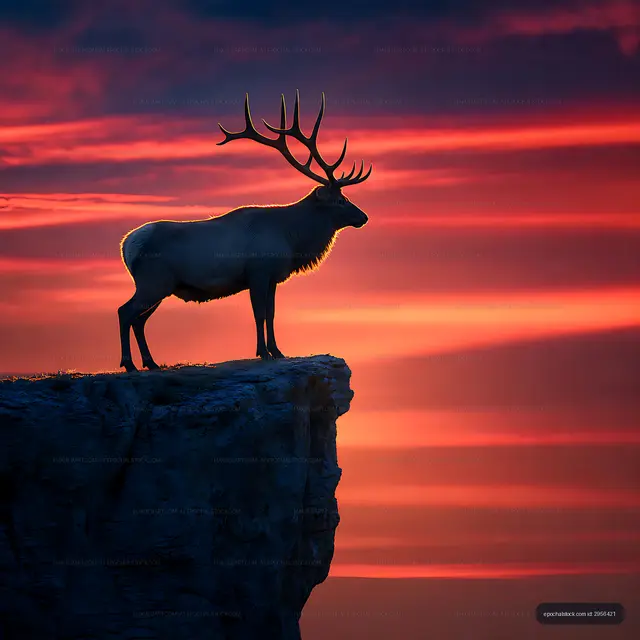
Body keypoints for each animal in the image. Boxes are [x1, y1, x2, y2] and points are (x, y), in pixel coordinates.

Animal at [117, 90, 372, 372]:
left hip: (160, 286)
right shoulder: (258, 271)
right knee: (125, 312)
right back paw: (129, 364)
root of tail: (127, 245)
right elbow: (259, 313)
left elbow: (271, 314)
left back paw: (151, 363)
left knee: (139, 319)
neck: (291, 238)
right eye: (340, 200)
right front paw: (263, 352)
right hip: (153, 281)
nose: (364, 217)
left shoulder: (272, 277)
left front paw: (277, 351)